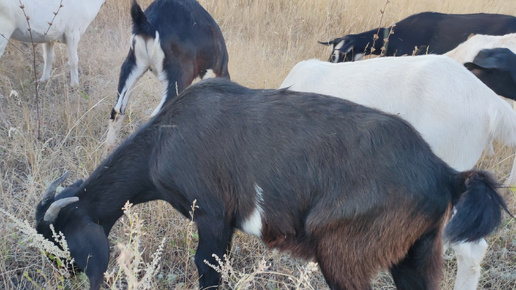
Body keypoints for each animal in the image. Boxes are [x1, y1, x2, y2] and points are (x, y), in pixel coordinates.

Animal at [35, 78, 508, 290]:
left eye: (59, 237)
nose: (61, 273)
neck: (162, 139)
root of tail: (444, 173)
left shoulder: (210, 214)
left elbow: (207, 268)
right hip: (417, 255)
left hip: (343, 252)